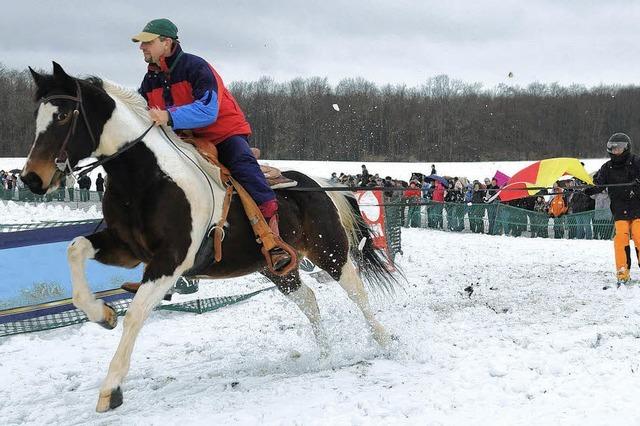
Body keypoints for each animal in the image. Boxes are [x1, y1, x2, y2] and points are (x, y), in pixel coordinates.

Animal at [20, 63, 398, 412]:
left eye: (64, 114)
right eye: (36, 116)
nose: (32, 178)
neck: (148, 178)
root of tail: (318, 185)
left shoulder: (169, 262)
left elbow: (138, 312)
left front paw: (111, 387)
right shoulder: (126, 248)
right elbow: (75, 249)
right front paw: (101, 314)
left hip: (331, 253)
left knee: (357, 292)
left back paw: (384, 341)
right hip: (277, 268)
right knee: (308, 299)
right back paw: (325, 354)